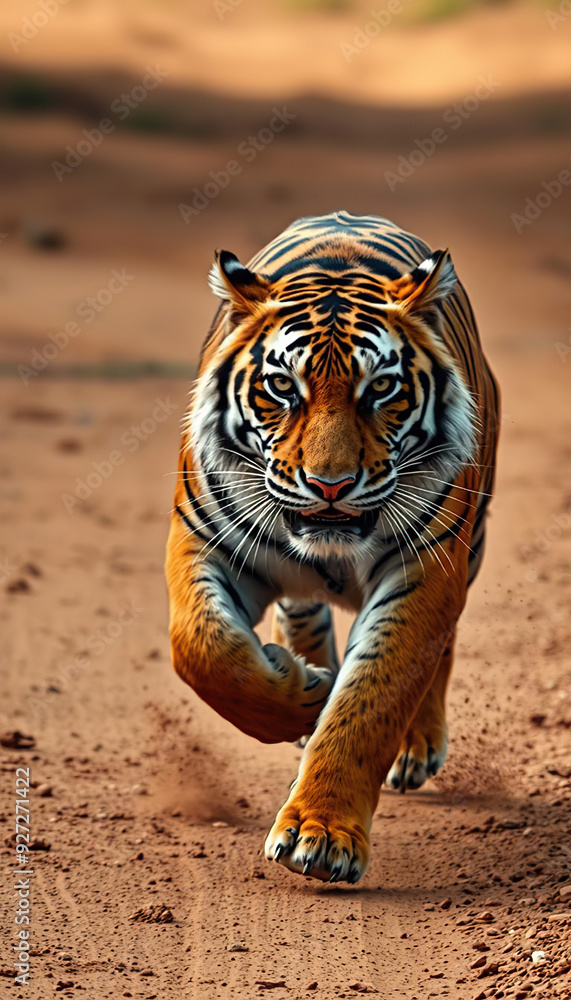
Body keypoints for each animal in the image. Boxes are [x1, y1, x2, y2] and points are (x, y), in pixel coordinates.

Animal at [165, 211, 500, 884]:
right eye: (281, 387)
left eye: (382, 389)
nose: (330, 485)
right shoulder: (202, 542)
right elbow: (204, 650)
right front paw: (302, 695)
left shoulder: (424, 573)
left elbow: (373, 698)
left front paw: (321, 835)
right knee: (299, 609)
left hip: (468, 542)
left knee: (440, 649)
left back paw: (415, 745)